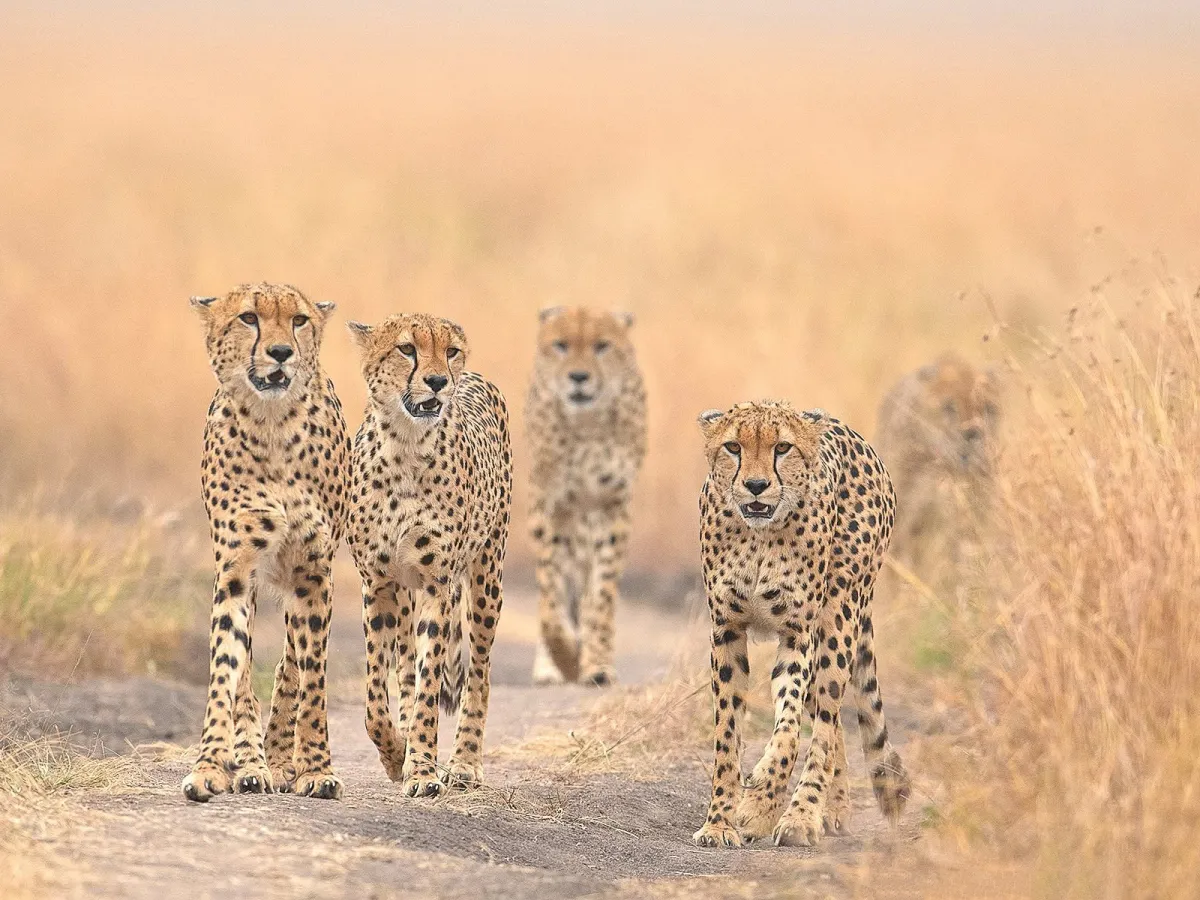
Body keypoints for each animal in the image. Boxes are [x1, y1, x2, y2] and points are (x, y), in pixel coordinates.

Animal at [184, 282, 351, 803]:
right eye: (249, 318)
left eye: (298, 320)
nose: (280, 353)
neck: (273, 424)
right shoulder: (236, 571)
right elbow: (226, 669)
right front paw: (210, 766)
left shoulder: (314, 571)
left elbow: (311, 677)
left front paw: (316, 767)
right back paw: (254, 763)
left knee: (290, 665)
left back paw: (278, 759)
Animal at [346, 313, 512, 798]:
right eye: (407, 348)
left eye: (450, 350)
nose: (439, 380)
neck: (405, 445)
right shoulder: (378, 584)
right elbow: (374, 696)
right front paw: (395, 754)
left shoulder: (439, 582)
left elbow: (429, 688)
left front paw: (421, 768)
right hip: (405, 595)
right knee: (404, 667)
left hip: (485, 580)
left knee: (478, 672)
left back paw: (464, 763)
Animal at [525, 306, 647, 687]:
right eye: (561, 345)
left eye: (601, 346)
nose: (578, 377)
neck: (587, 424)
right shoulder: (549, 505)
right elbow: (550, 596)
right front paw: (564, 658)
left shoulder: (612, 506)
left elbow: (602, 597)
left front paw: (596, 664)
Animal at [691, 400, 910, 848]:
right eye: (733, 447)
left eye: (783, 448)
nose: (757, 485)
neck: (758, 537)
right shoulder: (726, 631)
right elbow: (727, 734)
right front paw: (719, 822)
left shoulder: (798, 633)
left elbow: (790, 729)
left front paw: (762, 797)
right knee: (832, 722)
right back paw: (832, 809)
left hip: (839, 620)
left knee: (825, 720)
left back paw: (802, 816)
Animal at [874, 353, 1000, 584]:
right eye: (949, 407)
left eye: (987, 407)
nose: (973, 434)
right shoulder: (905, 518)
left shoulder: (967, 520)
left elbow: (963, 563)